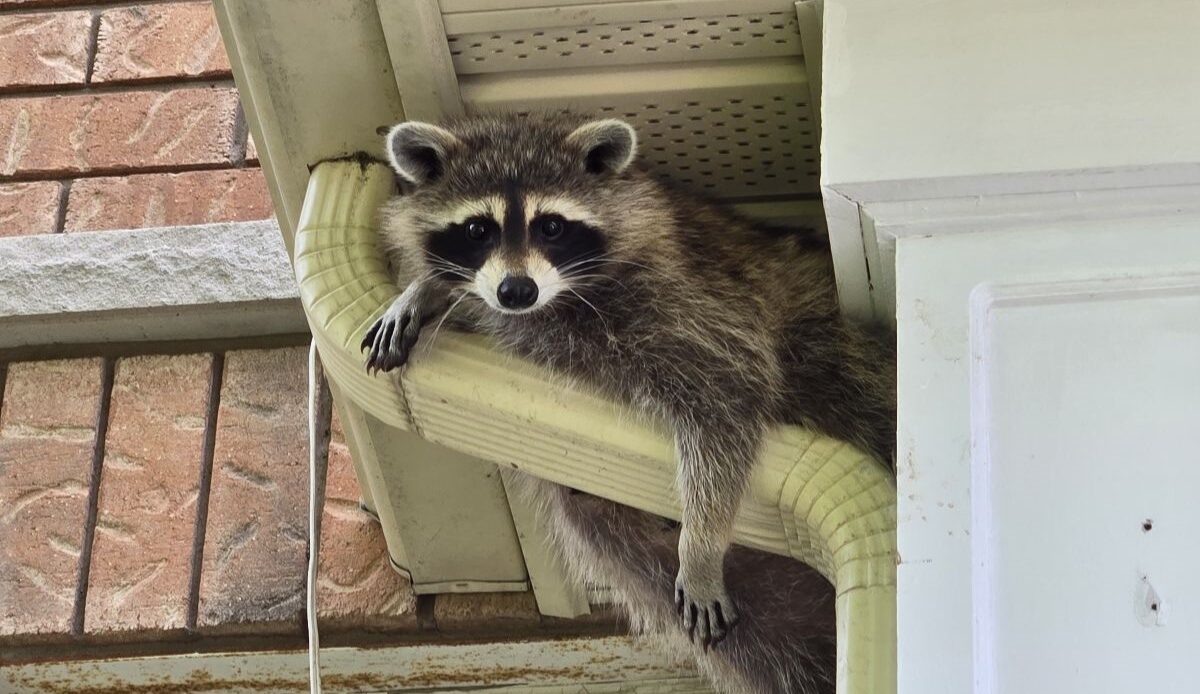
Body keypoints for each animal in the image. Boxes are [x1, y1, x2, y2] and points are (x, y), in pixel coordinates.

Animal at [364, 112, 896, 693]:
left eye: (551, 226)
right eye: (478, 230)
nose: (516, 291)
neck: (558, 299)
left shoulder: (692, 302)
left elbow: (727, 397)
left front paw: (701, 544)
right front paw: (423, 290)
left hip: (834, 353)